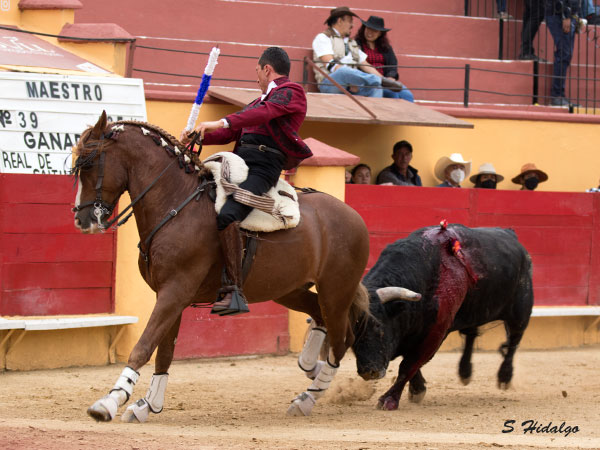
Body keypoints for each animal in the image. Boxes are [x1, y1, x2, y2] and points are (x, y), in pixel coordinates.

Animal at [72, 111, 368, 422]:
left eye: (88, 163)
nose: (82, 220)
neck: (176, 202)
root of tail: (352, 215)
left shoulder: (174, 292)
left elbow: (143, 347)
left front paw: (110, 401)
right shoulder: (169, 296)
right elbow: (164, 351)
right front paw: (147, 405)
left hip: (336, 291)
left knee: (342, 339)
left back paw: (308, 397)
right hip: (288, 289)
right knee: (320, 319)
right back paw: (310, 367)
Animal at [352, 223, 536, 410]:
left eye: (378, 326)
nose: (368, 372)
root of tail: (511, 234)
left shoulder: (435, 332)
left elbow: (409, 364)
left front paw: (389, 399)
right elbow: (410, 361)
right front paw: (417, 389)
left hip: (521, 310)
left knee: (514, 340)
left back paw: (504, 377)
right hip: (474, 309)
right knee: (471, 335)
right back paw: (465, 371)